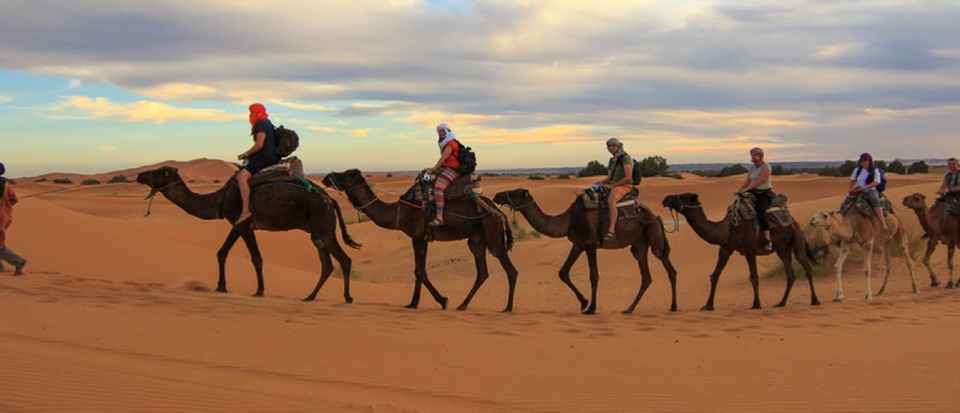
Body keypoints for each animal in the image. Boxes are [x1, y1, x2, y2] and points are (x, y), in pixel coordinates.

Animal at [135, 166, 360, 300]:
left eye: (157, 171)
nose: (139, 175)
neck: (221, 199)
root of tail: (331, 200)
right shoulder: (237, 224)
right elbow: (221, 252)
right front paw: (221, 287)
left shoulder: (244, 224)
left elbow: (256, 258)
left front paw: (259, 291)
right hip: (316, 233)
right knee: (327, 265)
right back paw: (309, 297)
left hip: (324, 226)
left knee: (344, 259)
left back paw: (347, 298)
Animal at [320, 169, 516, 310]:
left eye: (345, 174)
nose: (326, 177)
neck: (398, 212)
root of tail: (498, 211)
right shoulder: (423, 238)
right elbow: (422, 271)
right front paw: (431, 301)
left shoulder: (417, 236)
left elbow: (419, 271)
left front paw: (424, 302)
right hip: (476, 240)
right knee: (482, 272)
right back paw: (462, 305)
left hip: (492, 234)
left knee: (510, 269)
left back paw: (508, 307)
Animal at [492, 188, 680, 314]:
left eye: (514, 193)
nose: (497, 195)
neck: (568, 220)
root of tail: (656, 216)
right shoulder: (578, 244)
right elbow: (563, 272)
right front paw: (583, 303)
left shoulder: (589, 244)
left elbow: (594, 276)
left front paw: (591, 308)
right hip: (640, 244)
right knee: (646, 276)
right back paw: (629, 309)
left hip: (654, 236)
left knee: (668, 267)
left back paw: (673, 306)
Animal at [664, 192, 820, 308]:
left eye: (682, 196)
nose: (666, 199)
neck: (728, 229)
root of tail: (792, 219)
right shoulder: (725, 248)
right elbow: (715, 275)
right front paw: (708, 305)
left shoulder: (750, 250)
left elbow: (754, 277)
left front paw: (756, 304)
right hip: (782, 248)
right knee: (790, 274)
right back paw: (781, 303)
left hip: (796, 237)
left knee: (806, 265)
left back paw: (815, 300)